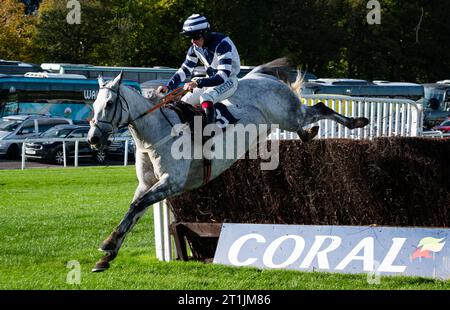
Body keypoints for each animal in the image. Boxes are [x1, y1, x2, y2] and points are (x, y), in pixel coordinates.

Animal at [86, 58, 368, 272]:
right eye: (93, 104)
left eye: (109, 104)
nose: (93, 139)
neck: (156, 131)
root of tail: (260, 75)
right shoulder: (148, 184)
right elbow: (134, 211)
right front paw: (107, 254)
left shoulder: (172, 182)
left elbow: (137, 206)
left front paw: (108, 246)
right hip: (286, 120)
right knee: (309, 119)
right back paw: (309, 134)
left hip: (289, 115)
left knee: (320, 107)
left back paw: (356, 122)